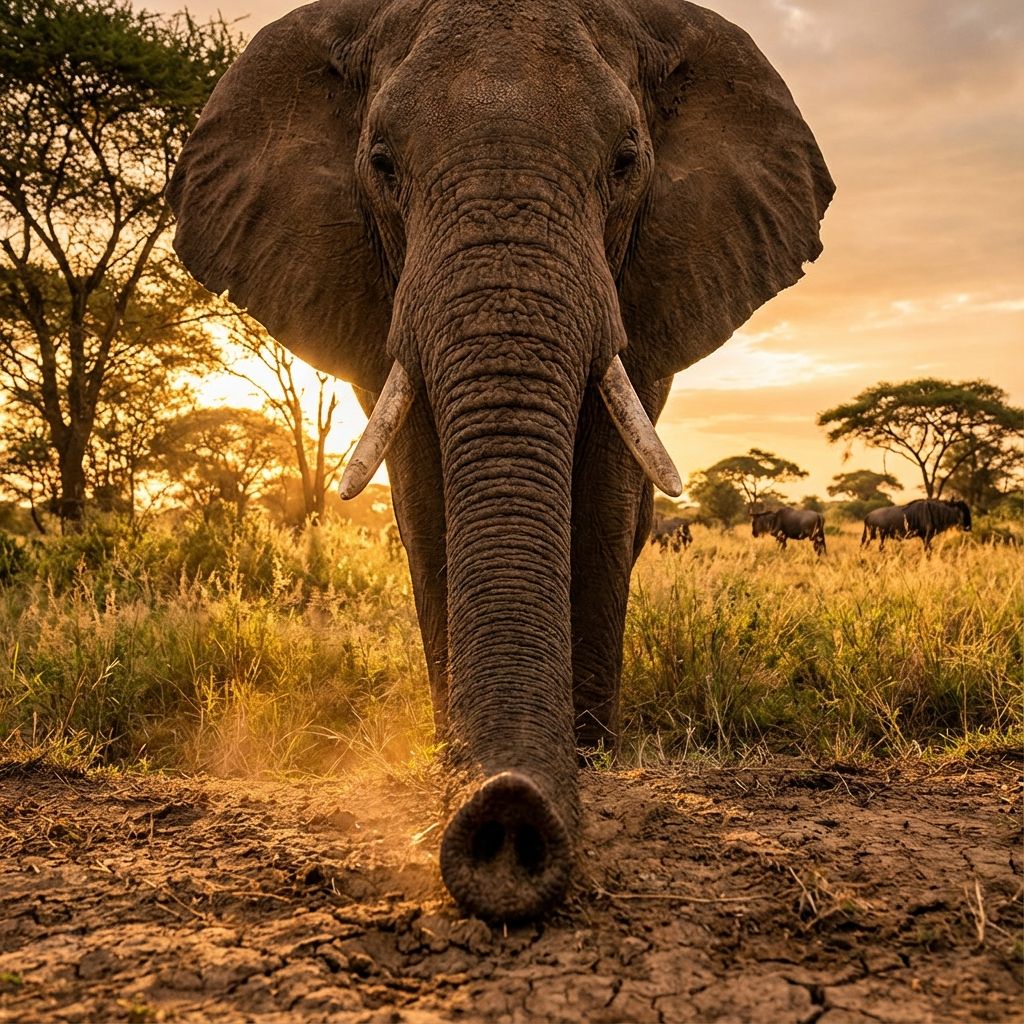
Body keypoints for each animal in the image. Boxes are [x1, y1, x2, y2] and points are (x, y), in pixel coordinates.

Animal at [167, 0, 833, 920]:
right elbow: (423, 494)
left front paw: (585, 761)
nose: (507, 820)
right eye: (381, 163)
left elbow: (603, 493)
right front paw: (460, 761)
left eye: (626, 162)